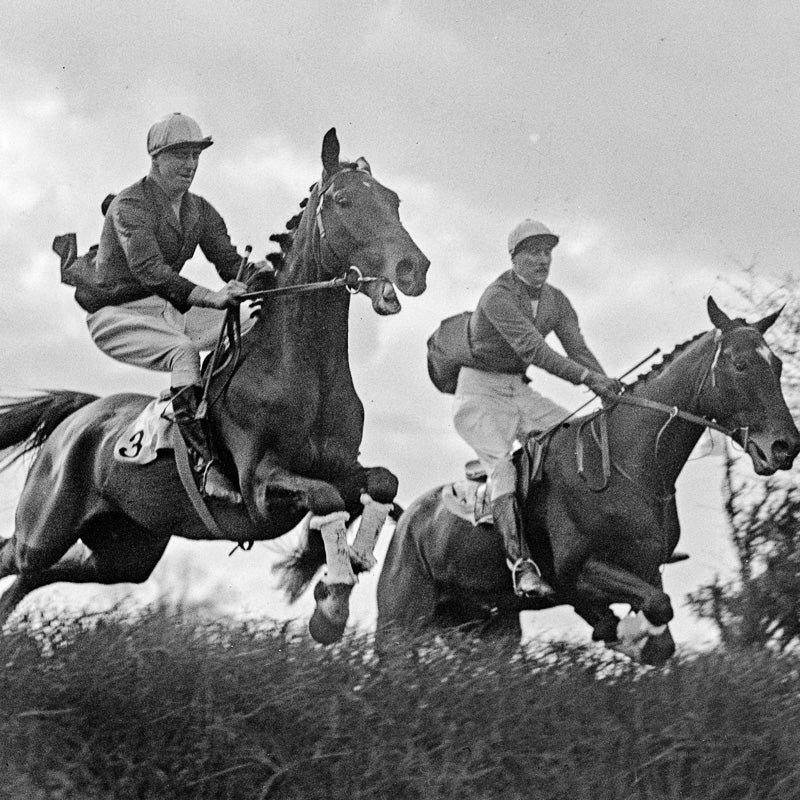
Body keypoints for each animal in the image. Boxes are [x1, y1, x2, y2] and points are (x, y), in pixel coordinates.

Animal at [0, 128, 430, 644]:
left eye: (394, 200)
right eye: (344, 200)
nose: (414, 268)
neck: (305, 373)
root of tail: (79, 415)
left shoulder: (343, 468)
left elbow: (382, 484)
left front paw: (337, 581)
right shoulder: (259, 485)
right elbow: (324, 498)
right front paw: (330, 605)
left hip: (125, 550)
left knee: (35, 574)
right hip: (44, 527)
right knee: (16, 555)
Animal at [371, 298, 799, 664]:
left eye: (778, 365)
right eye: (740, 364)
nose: (785, 446)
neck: (631, 465)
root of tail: (408, 519)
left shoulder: (646, 567)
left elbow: (658, 627)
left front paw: (626, 636)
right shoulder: (579, 570)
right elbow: (652, 607)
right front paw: (622, 634)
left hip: (492, 624)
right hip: (399, 622)